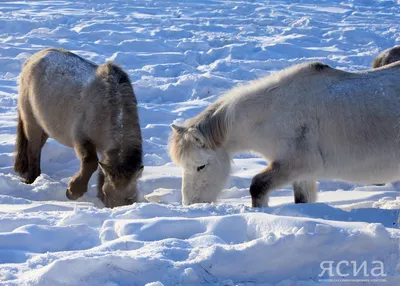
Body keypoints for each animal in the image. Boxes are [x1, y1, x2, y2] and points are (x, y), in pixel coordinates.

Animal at [14, 48, 143, 207]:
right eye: (107, 193)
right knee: (33, 149)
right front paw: (73, 191)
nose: (114, 209)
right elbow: (90, 162)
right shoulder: (81, 139)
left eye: (130, 198)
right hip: (32, 122)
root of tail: (32, 58)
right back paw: (32, 179)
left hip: (45, 126)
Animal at [169, 61, 400, 207]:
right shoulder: (302, 174)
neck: (275, 113)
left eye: (201, 166)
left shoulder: (297, 165)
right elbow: (303, 200)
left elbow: (257, 187)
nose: (191, 204)